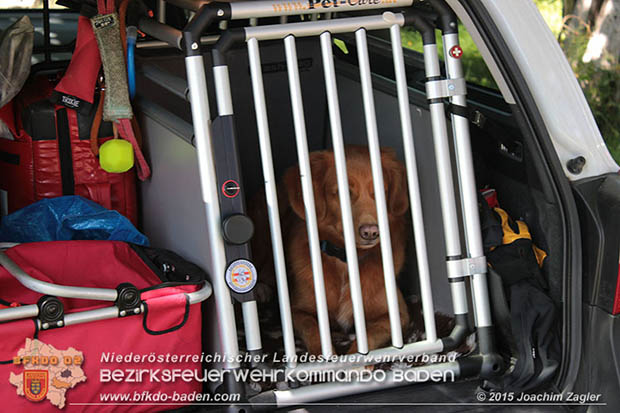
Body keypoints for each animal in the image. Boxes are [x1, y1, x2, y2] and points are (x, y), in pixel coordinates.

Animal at [252, 145, 412, 354]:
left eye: (380, 191)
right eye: (343, 192)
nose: (371, 231)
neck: (345, 260)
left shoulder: (396, 315)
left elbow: (367, 338)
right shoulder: (297, 311)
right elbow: (314, 330)